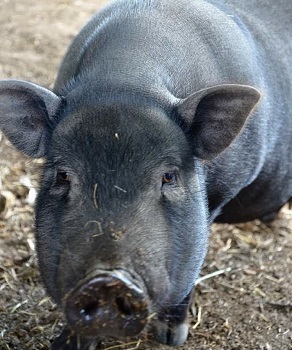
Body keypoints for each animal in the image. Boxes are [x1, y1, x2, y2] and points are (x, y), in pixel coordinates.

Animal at [0, 0, 290, 348]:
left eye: (169, 176)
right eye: (63, 175)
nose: (106, 279)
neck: (125, 81)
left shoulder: (221, 193)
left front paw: (171, 338)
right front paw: (66, 344)